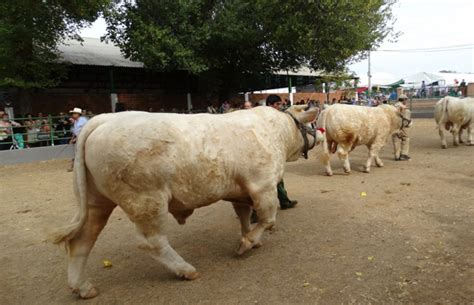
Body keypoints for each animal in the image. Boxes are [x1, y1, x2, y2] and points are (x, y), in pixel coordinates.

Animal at [50, 105, 320, 298]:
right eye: (312, 123)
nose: (320, 132)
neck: (277, 132)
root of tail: (103, 120)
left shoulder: (240, 191)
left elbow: (244, 215)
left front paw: (250, 239)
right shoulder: (263, 186)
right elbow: (268, 218)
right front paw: (247, 243)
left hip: (97, 201)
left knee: (82, 240)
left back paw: (83, 287)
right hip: (147, 200)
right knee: (152, 242)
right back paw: (186, 269)